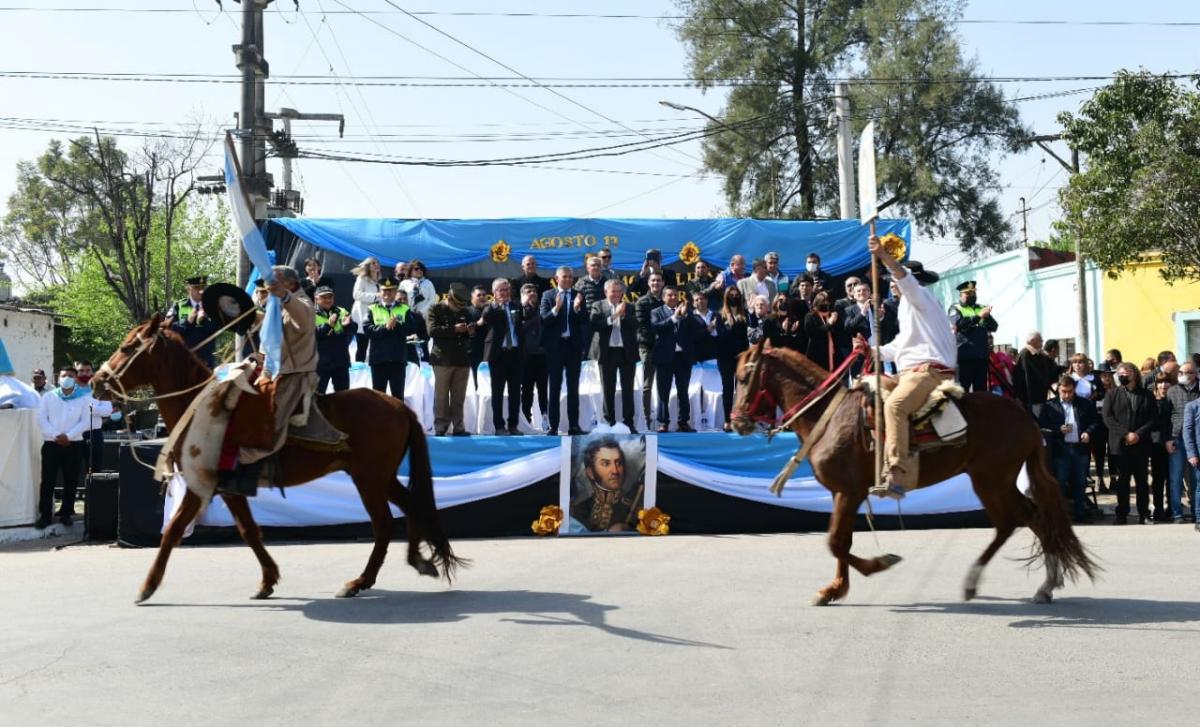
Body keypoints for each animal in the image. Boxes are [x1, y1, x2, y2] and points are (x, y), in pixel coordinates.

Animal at [92, 316, 463, 607]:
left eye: (128, 347)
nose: (96, 381)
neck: (200, 409)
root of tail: (400, 406)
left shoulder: (201, 485)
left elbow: (172, 531)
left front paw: (147, 586)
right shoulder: (230, 488)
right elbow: (249, 530)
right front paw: (267, 580)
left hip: (368, 479)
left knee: (384, 523)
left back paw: (359, 582)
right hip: (382, 477)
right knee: (412, 505)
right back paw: (417, 560)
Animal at [729, 345, 1099, 607]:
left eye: (744, 377)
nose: (736, 422)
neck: (829, 416)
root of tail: (1025, 417)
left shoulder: (848, 491)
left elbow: (835, 542)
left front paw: (879, 564)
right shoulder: (842, 493)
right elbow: (841, 540)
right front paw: (834, 588)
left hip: (991, 479)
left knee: (1015, 520)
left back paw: (984, 581)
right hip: (997, 480)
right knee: (1029, 518)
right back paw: (1043, 585)